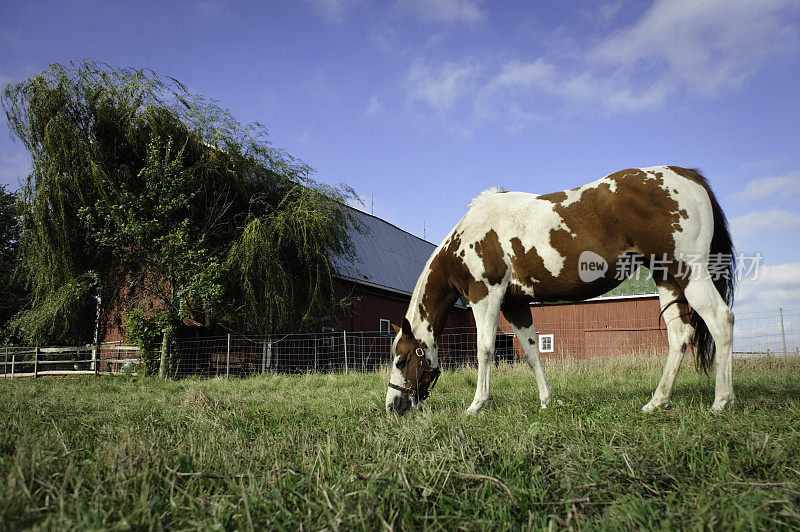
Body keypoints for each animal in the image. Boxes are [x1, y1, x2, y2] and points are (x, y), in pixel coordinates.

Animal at [384, 166, 736, 416]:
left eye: (401, 360)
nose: (392, 406)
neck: (467, 235)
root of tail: (689, 175)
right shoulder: (515, 305)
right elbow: (531, 352)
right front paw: (546, 400)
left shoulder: (486, 295)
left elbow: (484, 349)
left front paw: (476, 405)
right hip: (666, 278)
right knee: (680, 335)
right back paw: (657, 402)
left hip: (688, 271)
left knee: (722, 320)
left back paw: (721, 401)